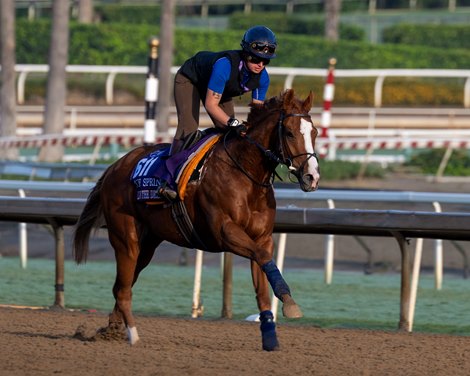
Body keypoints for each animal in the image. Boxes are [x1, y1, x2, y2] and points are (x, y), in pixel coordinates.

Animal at [72, 88, 320, 350]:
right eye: (290, 132)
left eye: (314, 132)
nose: (312, 177)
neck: (246, 174)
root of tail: (115, 167)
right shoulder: (225, 232)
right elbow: (263, 258)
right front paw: (289, 302)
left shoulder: (262, 238)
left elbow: (262, 278)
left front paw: (271, 335)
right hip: (125, 238)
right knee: (123, 289)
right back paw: (133, 334)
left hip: (147, 244)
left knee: (122, 284)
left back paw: (112, 328)